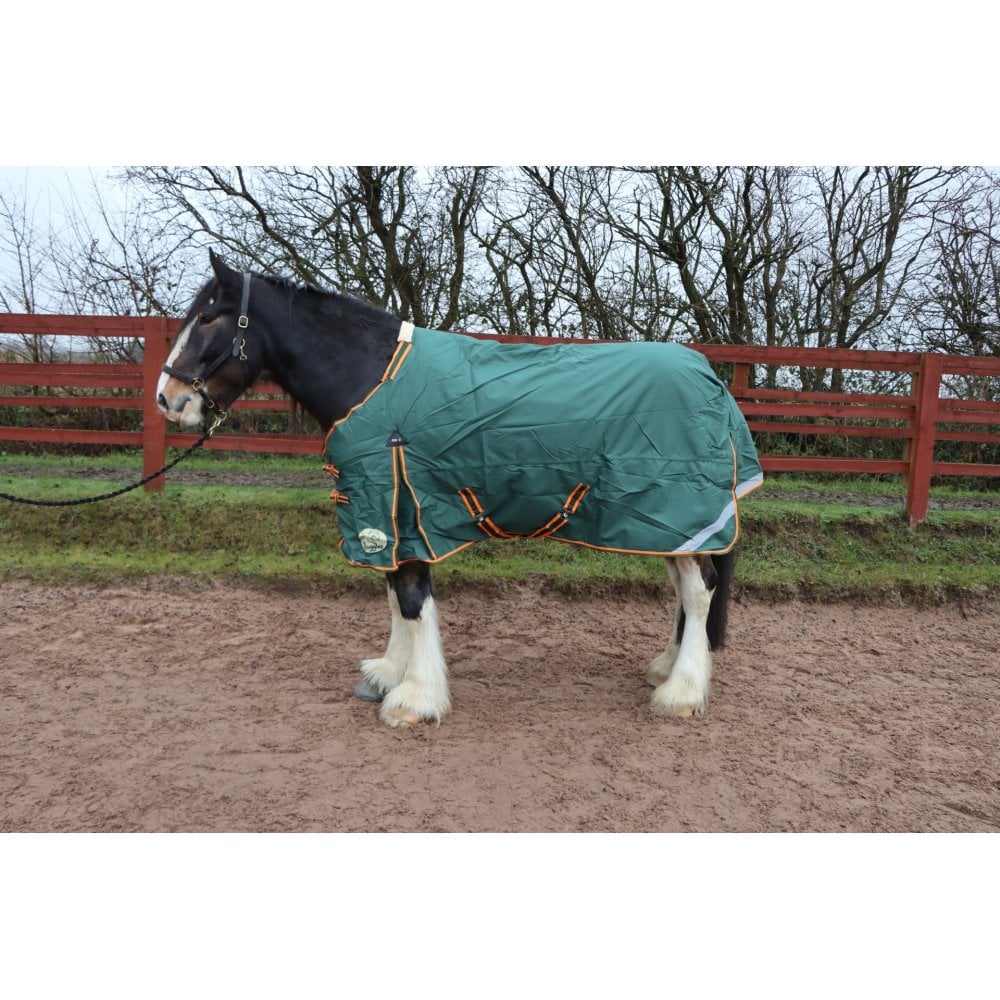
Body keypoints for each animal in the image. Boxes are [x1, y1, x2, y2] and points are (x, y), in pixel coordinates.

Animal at [157, 252, 763, 728]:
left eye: (208, 317)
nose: (168, 399)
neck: (373, 378)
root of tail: (710, 378)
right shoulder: (386, 516)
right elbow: (393, 596)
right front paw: (389, 674)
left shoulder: (400, 504)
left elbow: (410, 599)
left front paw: (416, 698)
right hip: (663, 524)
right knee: (686, 590)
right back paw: (667, 668)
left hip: (678, 510)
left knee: (699, 591)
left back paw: (682, 691)